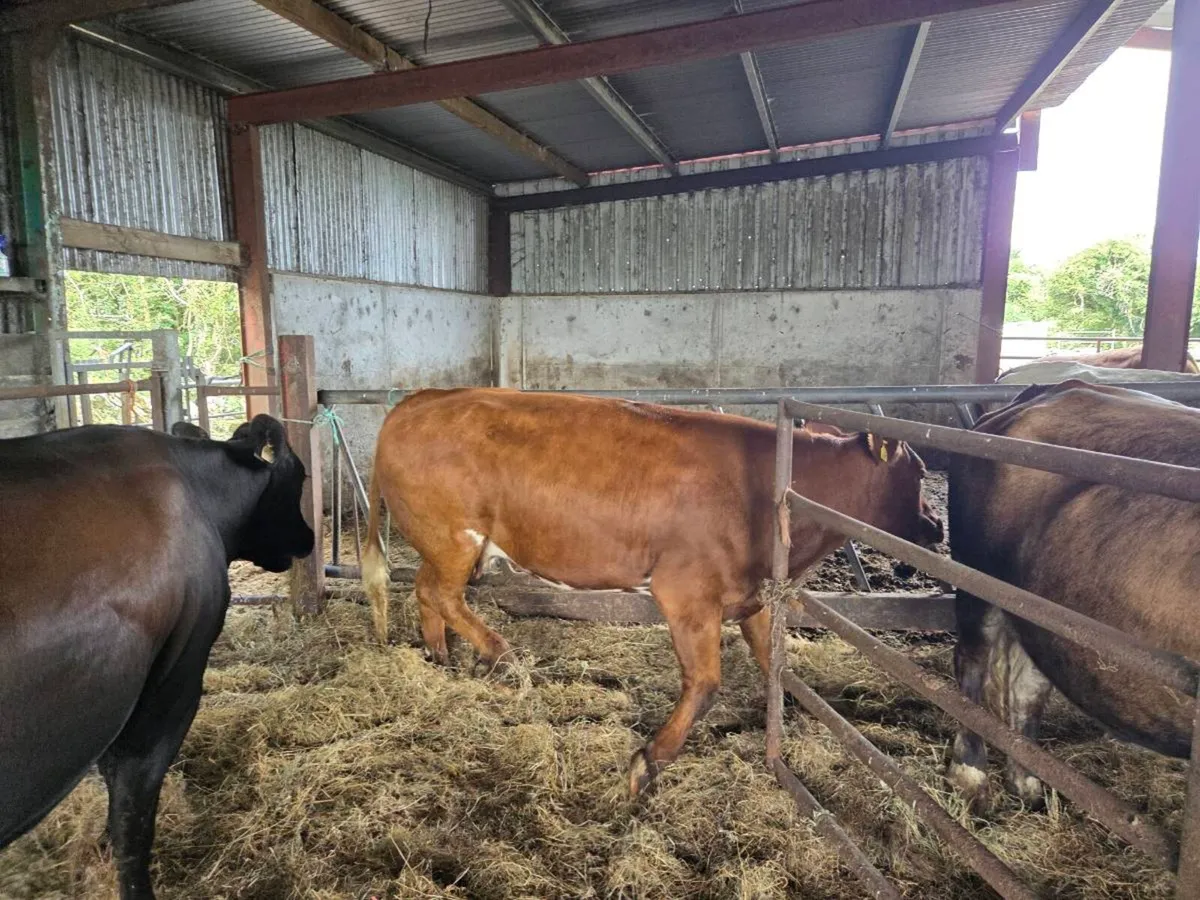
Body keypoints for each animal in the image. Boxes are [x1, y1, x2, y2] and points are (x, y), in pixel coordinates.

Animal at [361, 388, 944, 795]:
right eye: (918, 471)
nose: (937, 527)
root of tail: (423, 397)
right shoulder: (687, 591)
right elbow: (705, 683)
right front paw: (648, 763)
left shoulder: (752, 594)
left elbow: (771, 658)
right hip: (455, 539)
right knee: (442, 594)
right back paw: (498, 654)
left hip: (445, 547)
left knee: (426, 590)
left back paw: (441, 656)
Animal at [945, 380, 1200, 810]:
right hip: (976, 577)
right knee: (973, 661)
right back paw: (971, 775)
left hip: (1043, 613)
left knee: (1027, 687)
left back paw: (1027, 781)